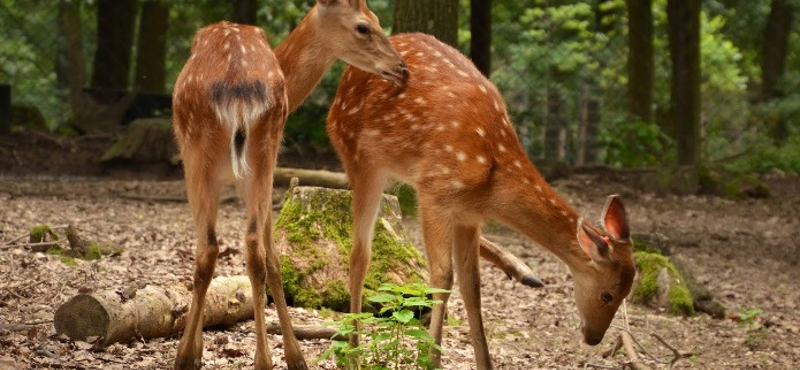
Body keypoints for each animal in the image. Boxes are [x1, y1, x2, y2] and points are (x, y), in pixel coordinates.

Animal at [170, 1, 406, 368]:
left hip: (215, 152)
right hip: (255, 149)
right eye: (364, 26)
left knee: (221, 249)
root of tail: (238, 90)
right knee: (241, 248)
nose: (401, 67)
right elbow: (272, 259)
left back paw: (203, 357)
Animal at [326, 33, 636, 368]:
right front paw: (431, 359)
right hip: (361, 157)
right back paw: (352, 350)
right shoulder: (436, 191)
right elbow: (443, 276)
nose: (593, 338)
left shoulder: (467, 214)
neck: (491, 182)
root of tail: (337, 94)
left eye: (626, 294)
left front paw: (483, 361)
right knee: (360, 254)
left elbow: (472, 284)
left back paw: (523, 270)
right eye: (607, 294)